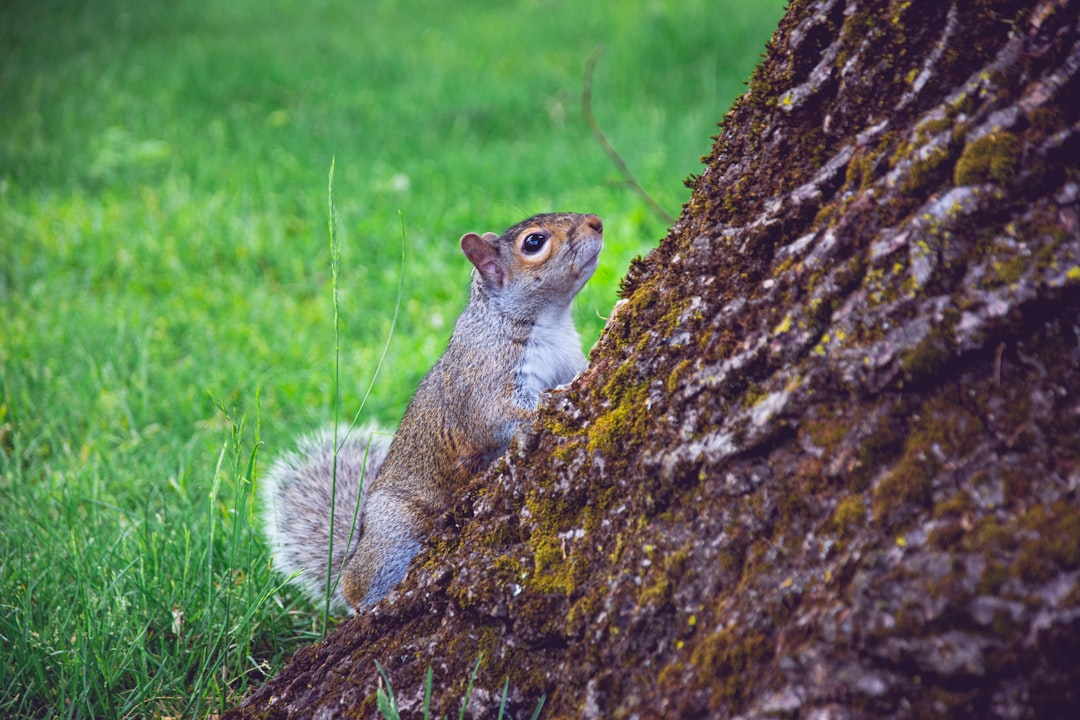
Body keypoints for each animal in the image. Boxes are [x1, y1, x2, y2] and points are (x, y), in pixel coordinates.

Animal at [258, 211, 604, 613]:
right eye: (534, 242)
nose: (596, 221)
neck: (551, 323)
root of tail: (355, 549)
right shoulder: (485, 376)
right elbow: (498, 415)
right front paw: (549, 406)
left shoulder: (566, 359)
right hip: (396, 530)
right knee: (360, 586)